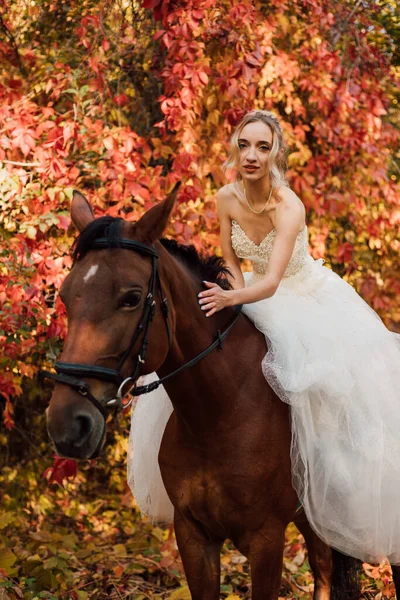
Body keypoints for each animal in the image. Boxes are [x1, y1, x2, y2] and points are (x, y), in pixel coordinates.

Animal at [43, 185, 400, 596]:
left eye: (131, 297)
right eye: (66, 296)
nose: (67, 424)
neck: (219, 414)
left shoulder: (266, 539)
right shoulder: (193, 535)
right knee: (324, 567)